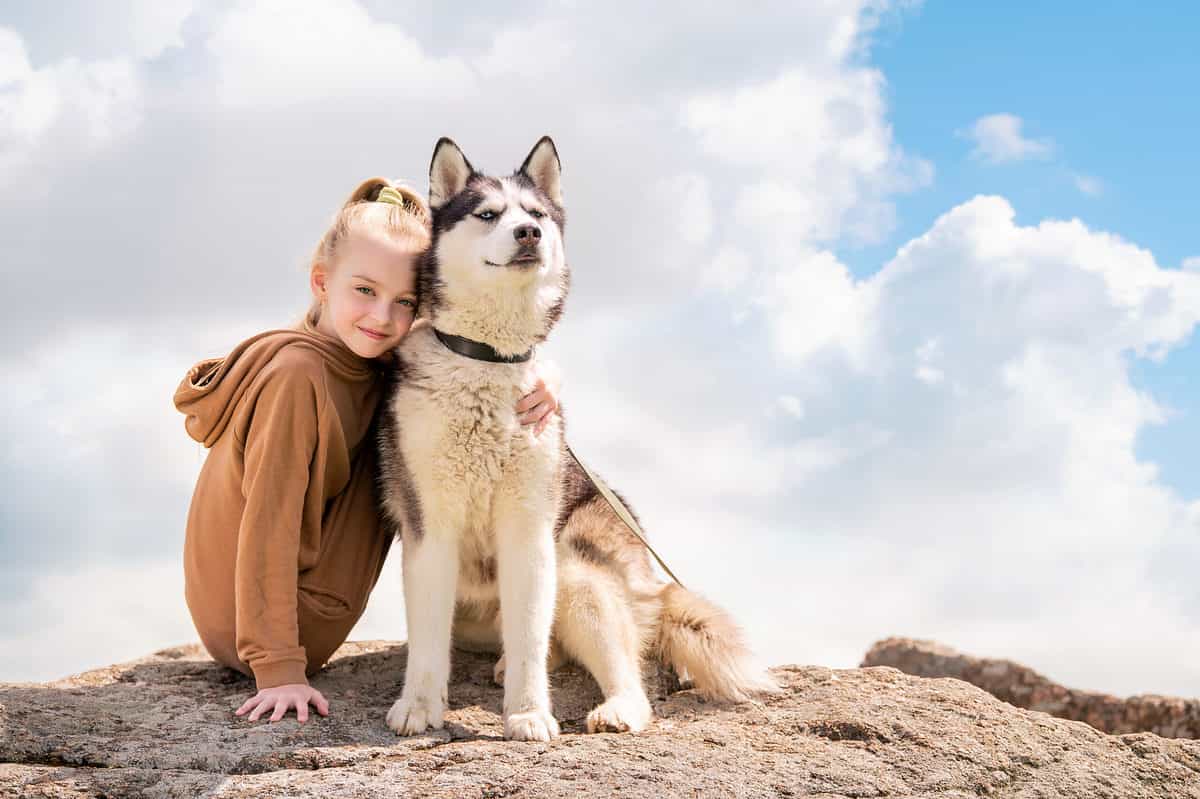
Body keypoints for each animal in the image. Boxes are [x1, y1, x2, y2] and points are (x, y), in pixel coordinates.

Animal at [376, 136, 777, 739]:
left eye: (536, 214)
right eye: (488, 214)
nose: (528, 234)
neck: (489, 361)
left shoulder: (529, 530)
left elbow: (530, 639)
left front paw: (527, 713)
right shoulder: (430, 528)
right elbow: (427, 640)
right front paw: (420, 706)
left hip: (575, 570)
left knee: (621, 667)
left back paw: (616, 707)